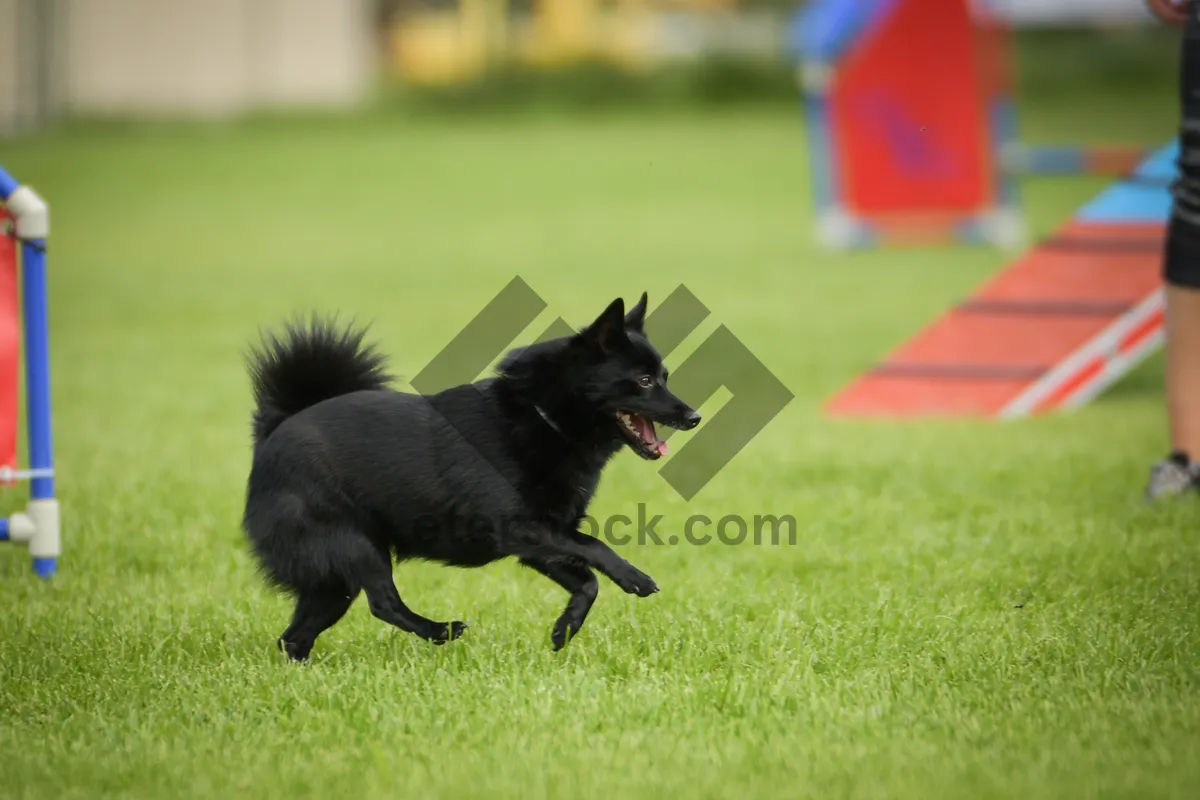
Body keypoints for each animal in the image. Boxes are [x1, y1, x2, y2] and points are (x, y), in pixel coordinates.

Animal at [238, 291, 700, 662]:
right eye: (644, 381)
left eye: (665, 377)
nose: (694, 416)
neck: (541, 417)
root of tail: (273, 434)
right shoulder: (523, 529)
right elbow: (596, 547)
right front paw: (634, 577)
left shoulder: (539, 545)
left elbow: (587, 582)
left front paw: (563, 630)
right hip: (355, 547)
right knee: (383, 603)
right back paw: (440, 630)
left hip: (331, 583)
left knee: (294, 636)